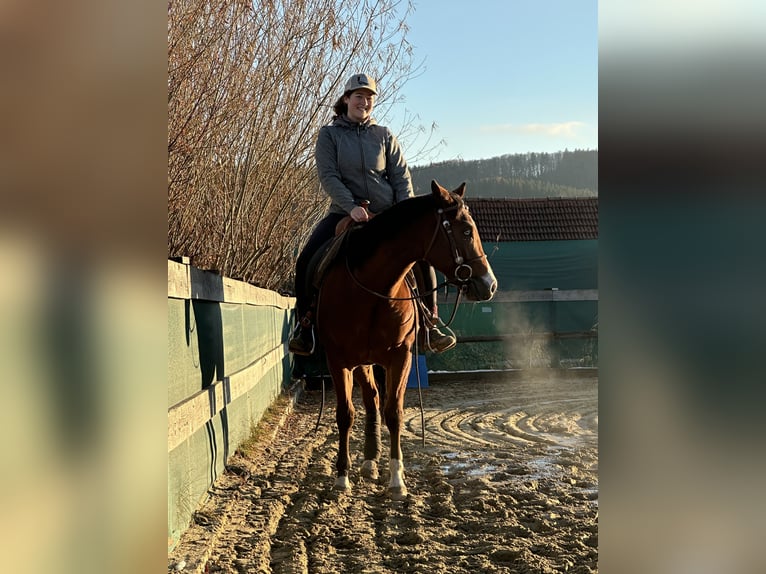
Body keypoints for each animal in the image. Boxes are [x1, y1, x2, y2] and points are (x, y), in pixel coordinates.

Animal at [315, 180, 497, 499]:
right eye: (465, 231)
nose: (490, 284)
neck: (374, 289)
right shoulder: (338, 360)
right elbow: (345, 414)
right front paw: (341, 476)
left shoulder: (400, 356)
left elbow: (394, 413)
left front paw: (397, 479)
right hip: (359, 362)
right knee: (369, 400)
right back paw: (366, 461)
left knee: (375, 400)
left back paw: (371, 460)